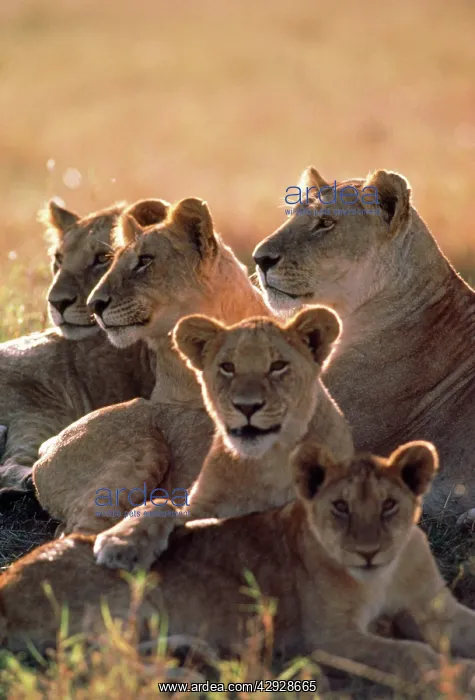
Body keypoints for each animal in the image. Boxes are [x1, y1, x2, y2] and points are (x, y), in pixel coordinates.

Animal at [2, 442, 475, 695]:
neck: (383, 576)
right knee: (92, 664)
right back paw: (185, 676)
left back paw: (192, 653)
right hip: (123, 598)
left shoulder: (434, 607)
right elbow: (410, 653)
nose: (368, 552)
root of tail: (7, 579)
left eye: (389, 505)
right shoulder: (328, 638)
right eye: (340, 507)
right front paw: (460, 676)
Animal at [93, 307, 353, 571]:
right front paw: (122, 542)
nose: (247, 406)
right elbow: (161, 504)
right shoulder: (199, 508)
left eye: (278, 366)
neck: (268, 461)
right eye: (227, 367)